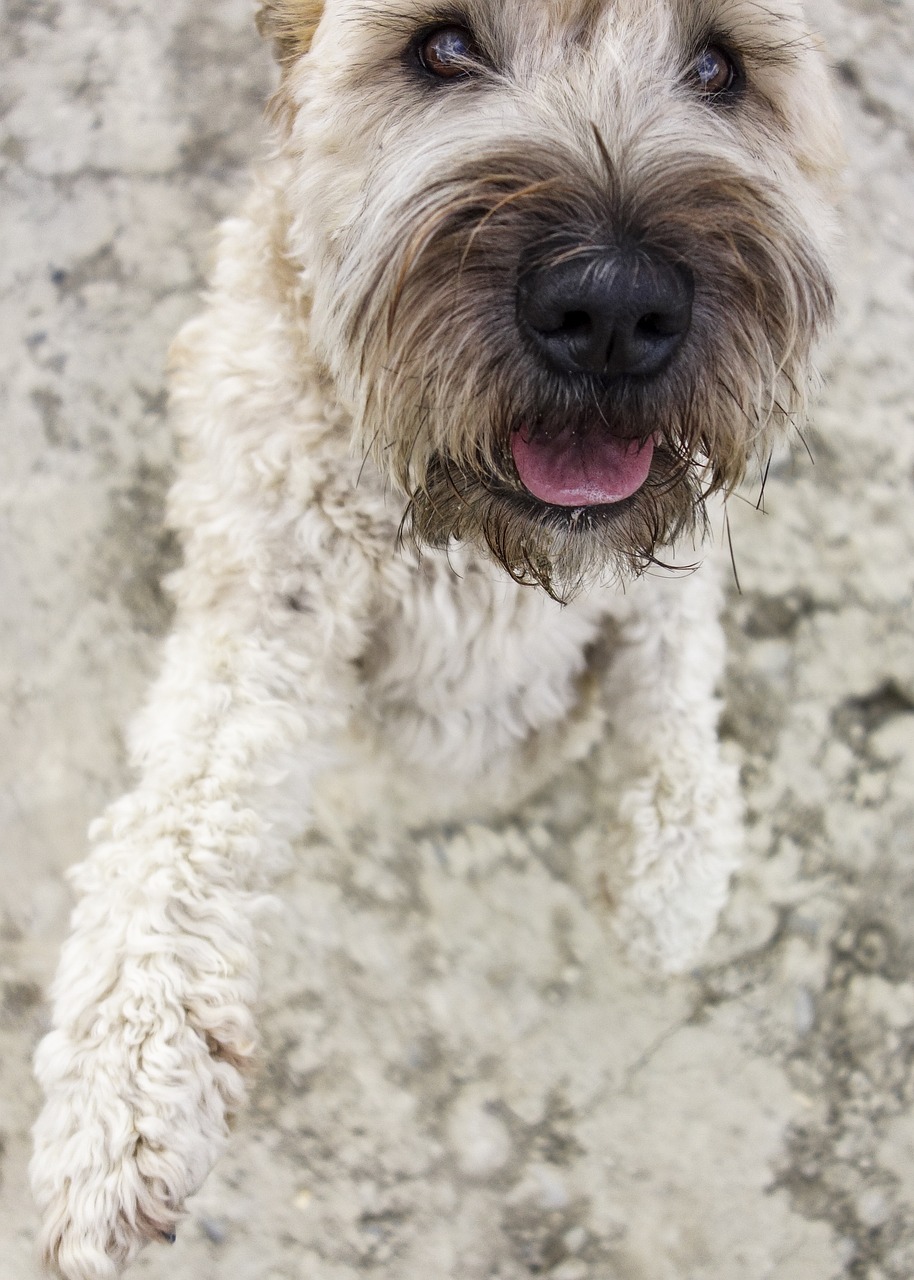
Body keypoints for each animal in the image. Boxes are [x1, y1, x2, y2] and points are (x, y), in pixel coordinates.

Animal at [30, 0, 839, 1274]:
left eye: (719, 65)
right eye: (443, 47)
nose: (611, 309)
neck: (469, 530)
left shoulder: (664, 578)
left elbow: (671, 689)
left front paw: (668, 883)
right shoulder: (269, 596)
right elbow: (182, 815)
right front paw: (125, 1094)